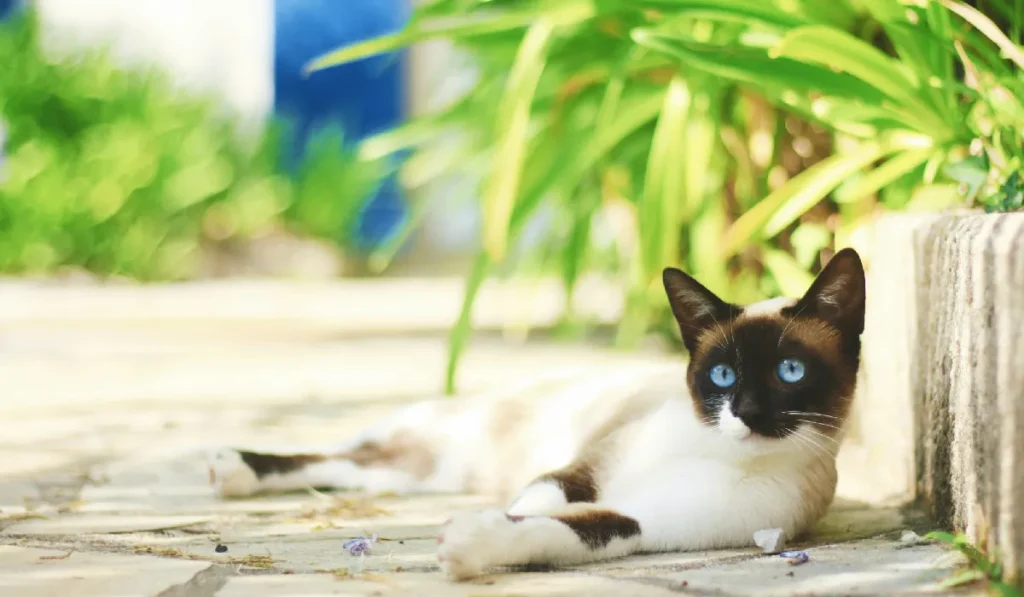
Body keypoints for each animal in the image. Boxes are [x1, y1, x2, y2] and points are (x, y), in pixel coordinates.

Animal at [205, 246, 864, 577]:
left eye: (790, 372)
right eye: (723, 376)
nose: (747, 411)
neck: (712, 454)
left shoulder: (643, 523)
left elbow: (562, 528)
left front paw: (476, 542)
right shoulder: (584, 468)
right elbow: (538, 501)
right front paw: (493, 522)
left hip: (413, 473)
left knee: (351, 465)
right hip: (431, 444)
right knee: (337, 451)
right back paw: (231, 467)